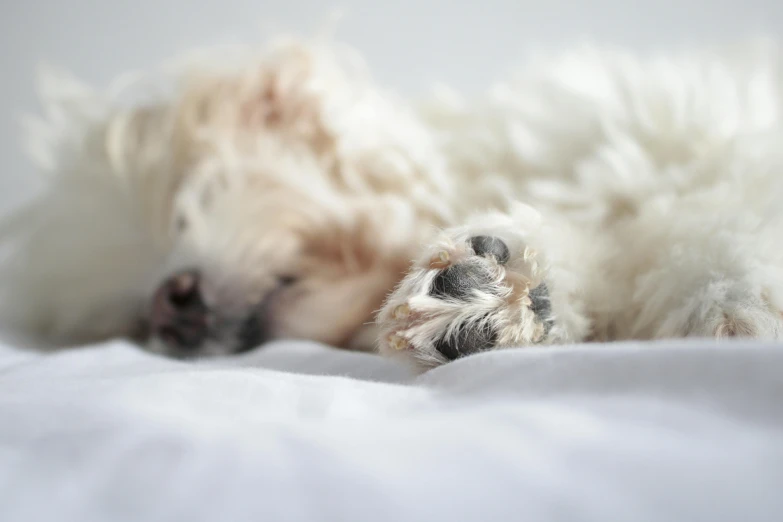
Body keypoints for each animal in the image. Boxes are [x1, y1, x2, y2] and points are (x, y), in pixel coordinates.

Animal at [1, 35, 783, 370]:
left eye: (182, 208)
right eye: (127, 318)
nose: (170, 306)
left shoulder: (702, 146)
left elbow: (718, 225)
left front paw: (733, 304)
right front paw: (506, 296)